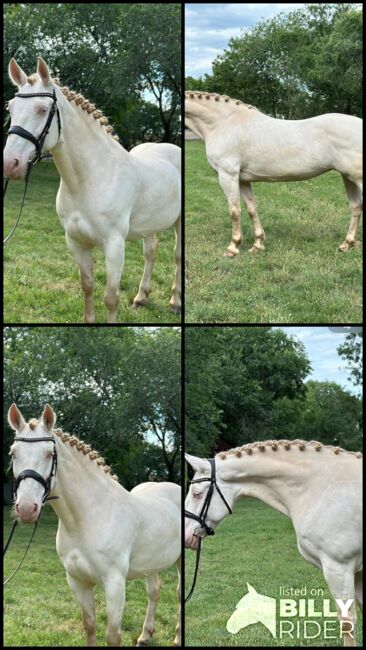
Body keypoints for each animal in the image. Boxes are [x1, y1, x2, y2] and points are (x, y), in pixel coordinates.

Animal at [4, 56, 182, 322]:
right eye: (11, 108)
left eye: (42, 110)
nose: (10, 163)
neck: (90, 180)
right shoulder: (76, 242)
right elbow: (87, 286)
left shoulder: (114, 246)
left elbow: (111, 298)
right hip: (151, 225)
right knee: (150, 253)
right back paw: (141, 297)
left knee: (177, 256)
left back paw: (175, 302)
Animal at [7, 402, 182, 644]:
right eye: (13, 453)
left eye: (50, 454)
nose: (25, 509)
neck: (89, 519)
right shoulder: (77, 581)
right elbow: (89, 625)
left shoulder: (115, 584)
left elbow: (113, 636)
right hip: (152, 563)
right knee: (154, 590)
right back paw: (144, 635)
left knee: (179, 593)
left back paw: (178, 637)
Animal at [184, 92, 362, 258]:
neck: (223, 122)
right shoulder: (242, 179)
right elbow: (251, 208)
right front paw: (257, 244)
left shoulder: (228, 175)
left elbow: (234, 210)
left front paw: (233, 247)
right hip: (348, 177)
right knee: (356, 206)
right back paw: (347, 244)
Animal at [186, 438, 364, 644]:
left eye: (197, 493)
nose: (186, 535)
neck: (323, 487)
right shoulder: (356, 572)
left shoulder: (339, 568)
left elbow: (347, 623)